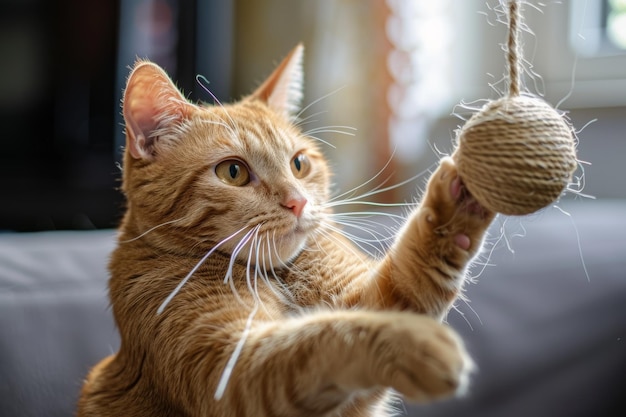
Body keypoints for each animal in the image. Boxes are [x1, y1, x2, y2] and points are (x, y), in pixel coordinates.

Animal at [77, 44, 492, 414]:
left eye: (298, 164)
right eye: (233, 172)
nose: (298, 202)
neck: (278, 275)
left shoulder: (374, 300)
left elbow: (410, 283)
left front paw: (461, 198)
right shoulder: (231, 370)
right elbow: (326, 338)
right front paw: (412, 342)